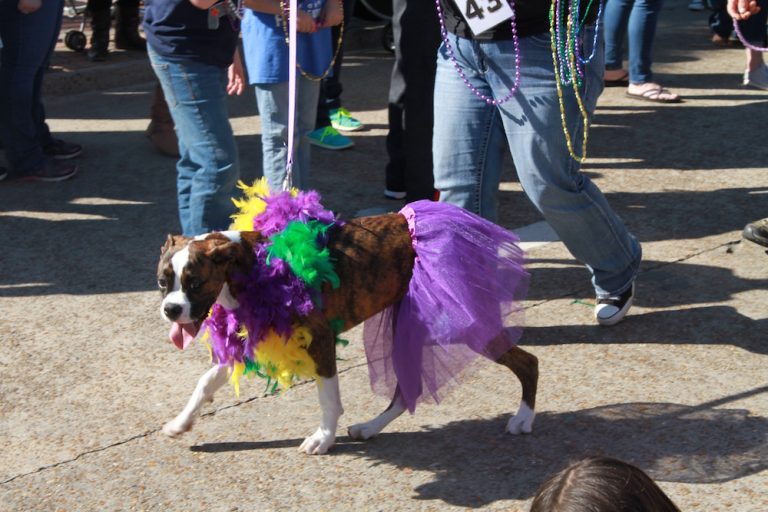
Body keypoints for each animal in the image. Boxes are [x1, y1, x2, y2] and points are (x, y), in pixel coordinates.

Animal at [158, 214, 536, 454]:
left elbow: (328, 399)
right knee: (404, 392)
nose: (171, 309)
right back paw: (370, 427)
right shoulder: (249, 340)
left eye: (195, 282)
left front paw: (324, 439)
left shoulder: (321, 343)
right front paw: (181, 422)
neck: (248, 266)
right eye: (163, 281)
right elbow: (205, 383)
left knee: (528, 362)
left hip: (465, 323)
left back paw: (523, 418)